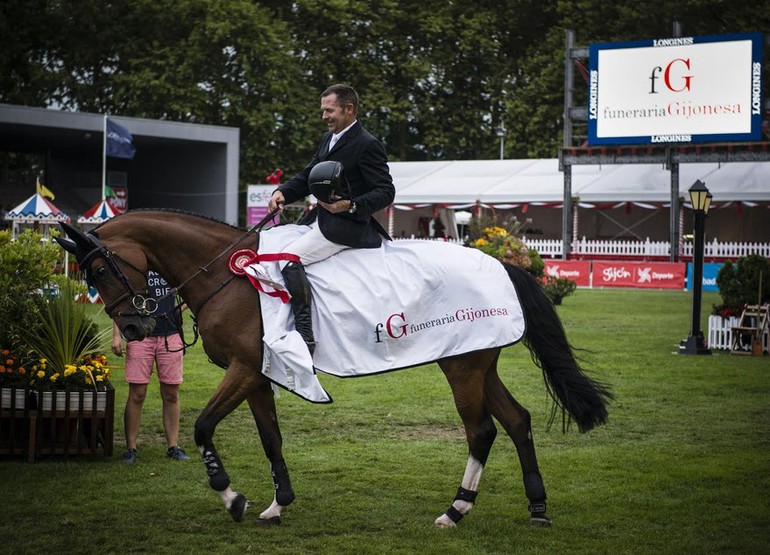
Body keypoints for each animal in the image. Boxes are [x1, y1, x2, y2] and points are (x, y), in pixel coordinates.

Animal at [55, 211, 612, 528]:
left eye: (99, 269)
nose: (132, 328)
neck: (227, 274)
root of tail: (503, 264)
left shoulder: (242, 370)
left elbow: (202, 426)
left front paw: (231, 497)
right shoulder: (259, 374)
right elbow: (270, 438)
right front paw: (277, 504)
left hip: (462, 368)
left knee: (482, 431)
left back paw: (456, 511)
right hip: (476, 360)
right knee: (516, 421)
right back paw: (536, 509)